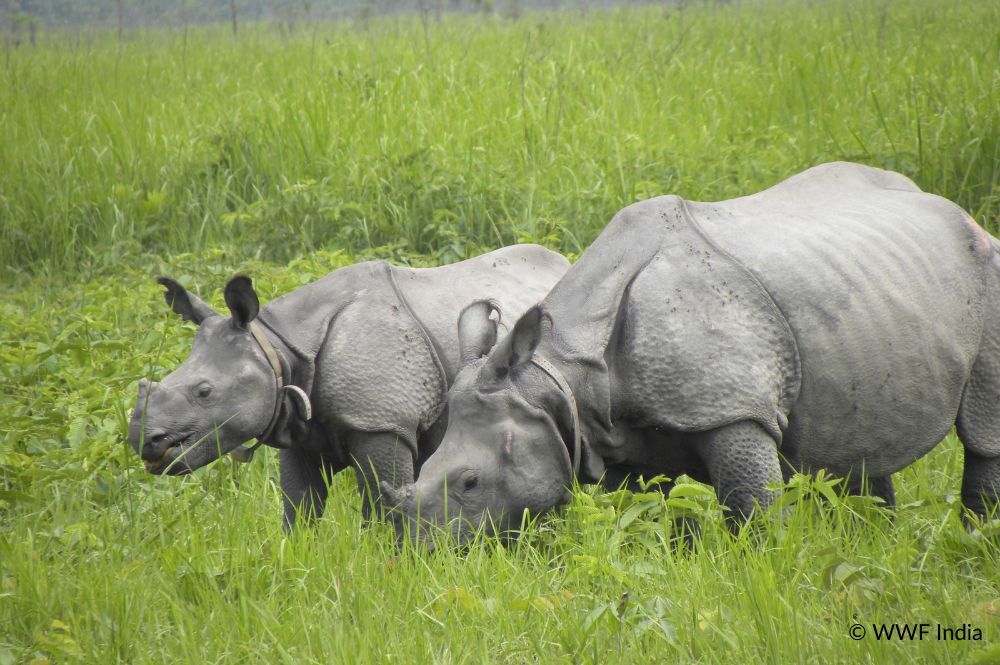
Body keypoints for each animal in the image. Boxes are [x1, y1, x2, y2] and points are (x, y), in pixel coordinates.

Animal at [127, 241, 572, 528]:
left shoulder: (382, 422)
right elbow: (300, 506)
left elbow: (381, 499)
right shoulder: (297, 423)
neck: (276, 347)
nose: (146, 442)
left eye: (204, 392)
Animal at [384, 163, 1000, 544]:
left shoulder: (733, 406)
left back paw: (976, 541)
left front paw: (765, 569)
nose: (421, 555)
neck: (557, 373)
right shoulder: (620, 435)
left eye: (470, 483)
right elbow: (650, 517)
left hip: (987, 265)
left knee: (982, 431)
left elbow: (752, 508)